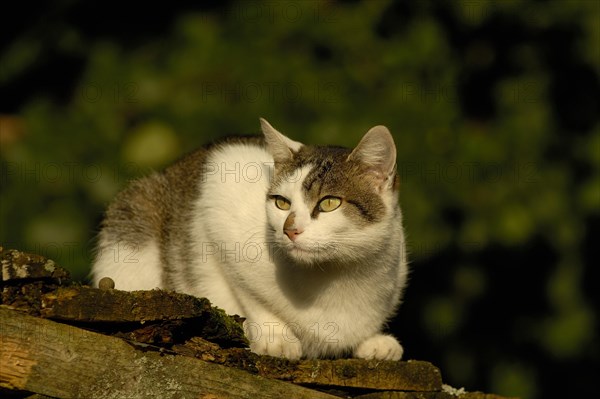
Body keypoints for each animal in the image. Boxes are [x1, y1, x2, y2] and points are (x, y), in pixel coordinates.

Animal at [91, 117, 408, 360]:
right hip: (136, 214)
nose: (290, 229)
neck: (334, 275)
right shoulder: (220, 190)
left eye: (329, 203)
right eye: (281, 203)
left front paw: (372, 340)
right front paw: (275, 335)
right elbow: (248, 293)